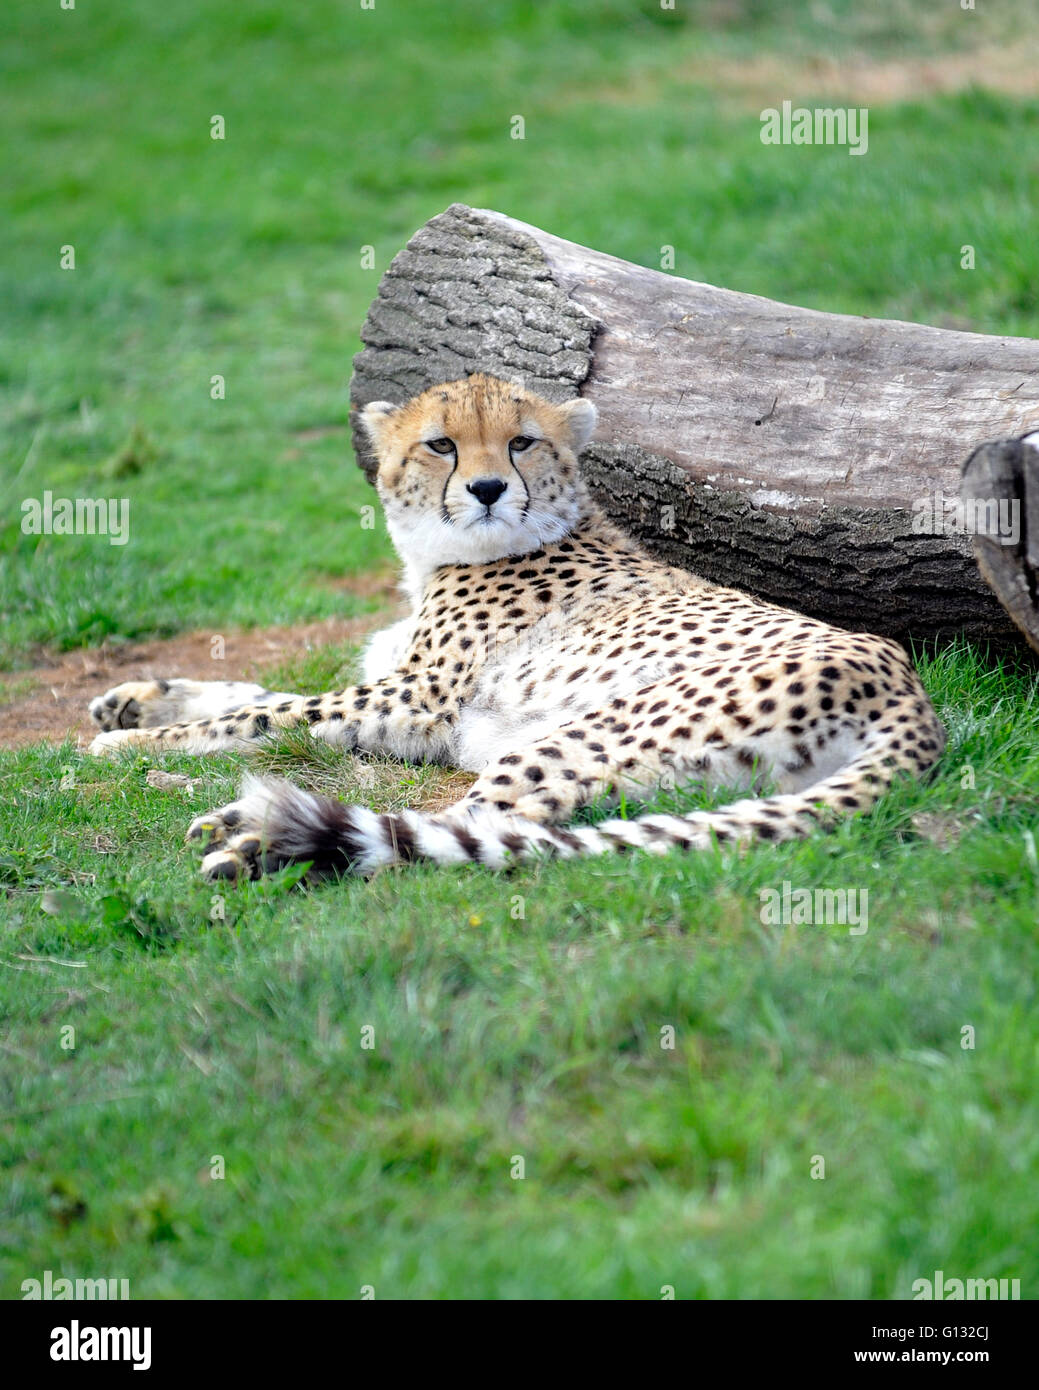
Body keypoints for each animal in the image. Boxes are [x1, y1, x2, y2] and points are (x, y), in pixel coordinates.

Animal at [89, 369, 945, 878]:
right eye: (440, 444)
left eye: (521, 442)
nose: (489, 488)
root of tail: (905, 687)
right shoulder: (405, 700)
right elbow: (252, 695)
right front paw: (137, 699)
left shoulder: (414, 700)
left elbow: (261, 715)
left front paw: (126, 746)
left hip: (585, 732)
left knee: (478, 823)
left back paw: (256, 838)